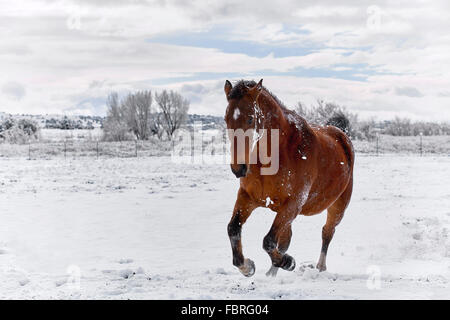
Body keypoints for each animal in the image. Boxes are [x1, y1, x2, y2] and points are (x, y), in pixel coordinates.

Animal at [223, 79, 354, 276]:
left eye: (250, 118)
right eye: (226, 119)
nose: (238, 168)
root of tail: (340, 134)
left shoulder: (294, 203)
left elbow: (269, 241)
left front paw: (288, 262)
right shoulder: (248, 197)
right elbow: (233, 229)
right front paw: (247, 267)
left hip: (338, 206)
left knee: (327, 232)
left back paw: (319, 267)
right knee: (286, 238)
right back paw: (272, 273)